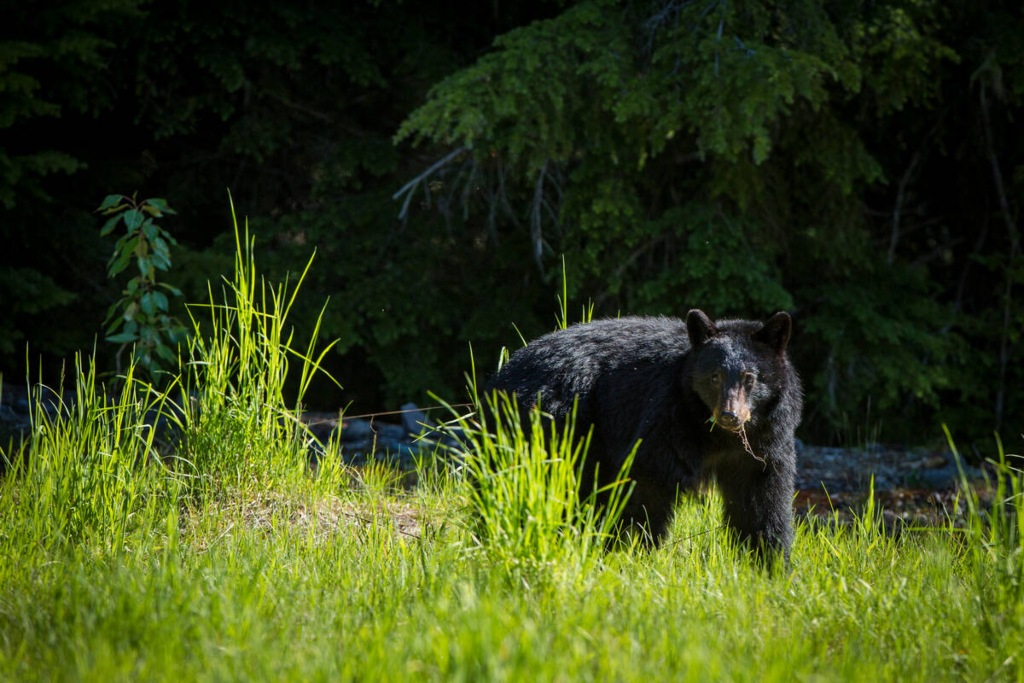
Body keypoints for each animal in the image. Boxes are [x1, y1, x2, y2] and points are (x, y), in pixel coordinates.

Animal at [484, 309, 802, 561]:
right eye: (715, 376)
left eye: (750, 378)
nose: (729, 415)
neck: (719, 436)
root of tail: (501, 375)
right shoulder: (668, 418)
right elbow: (647, 482)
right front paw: (632, 548)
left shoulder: (762, 445)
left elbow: (761, 500)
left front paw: (770, 563)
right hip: (556, 423)